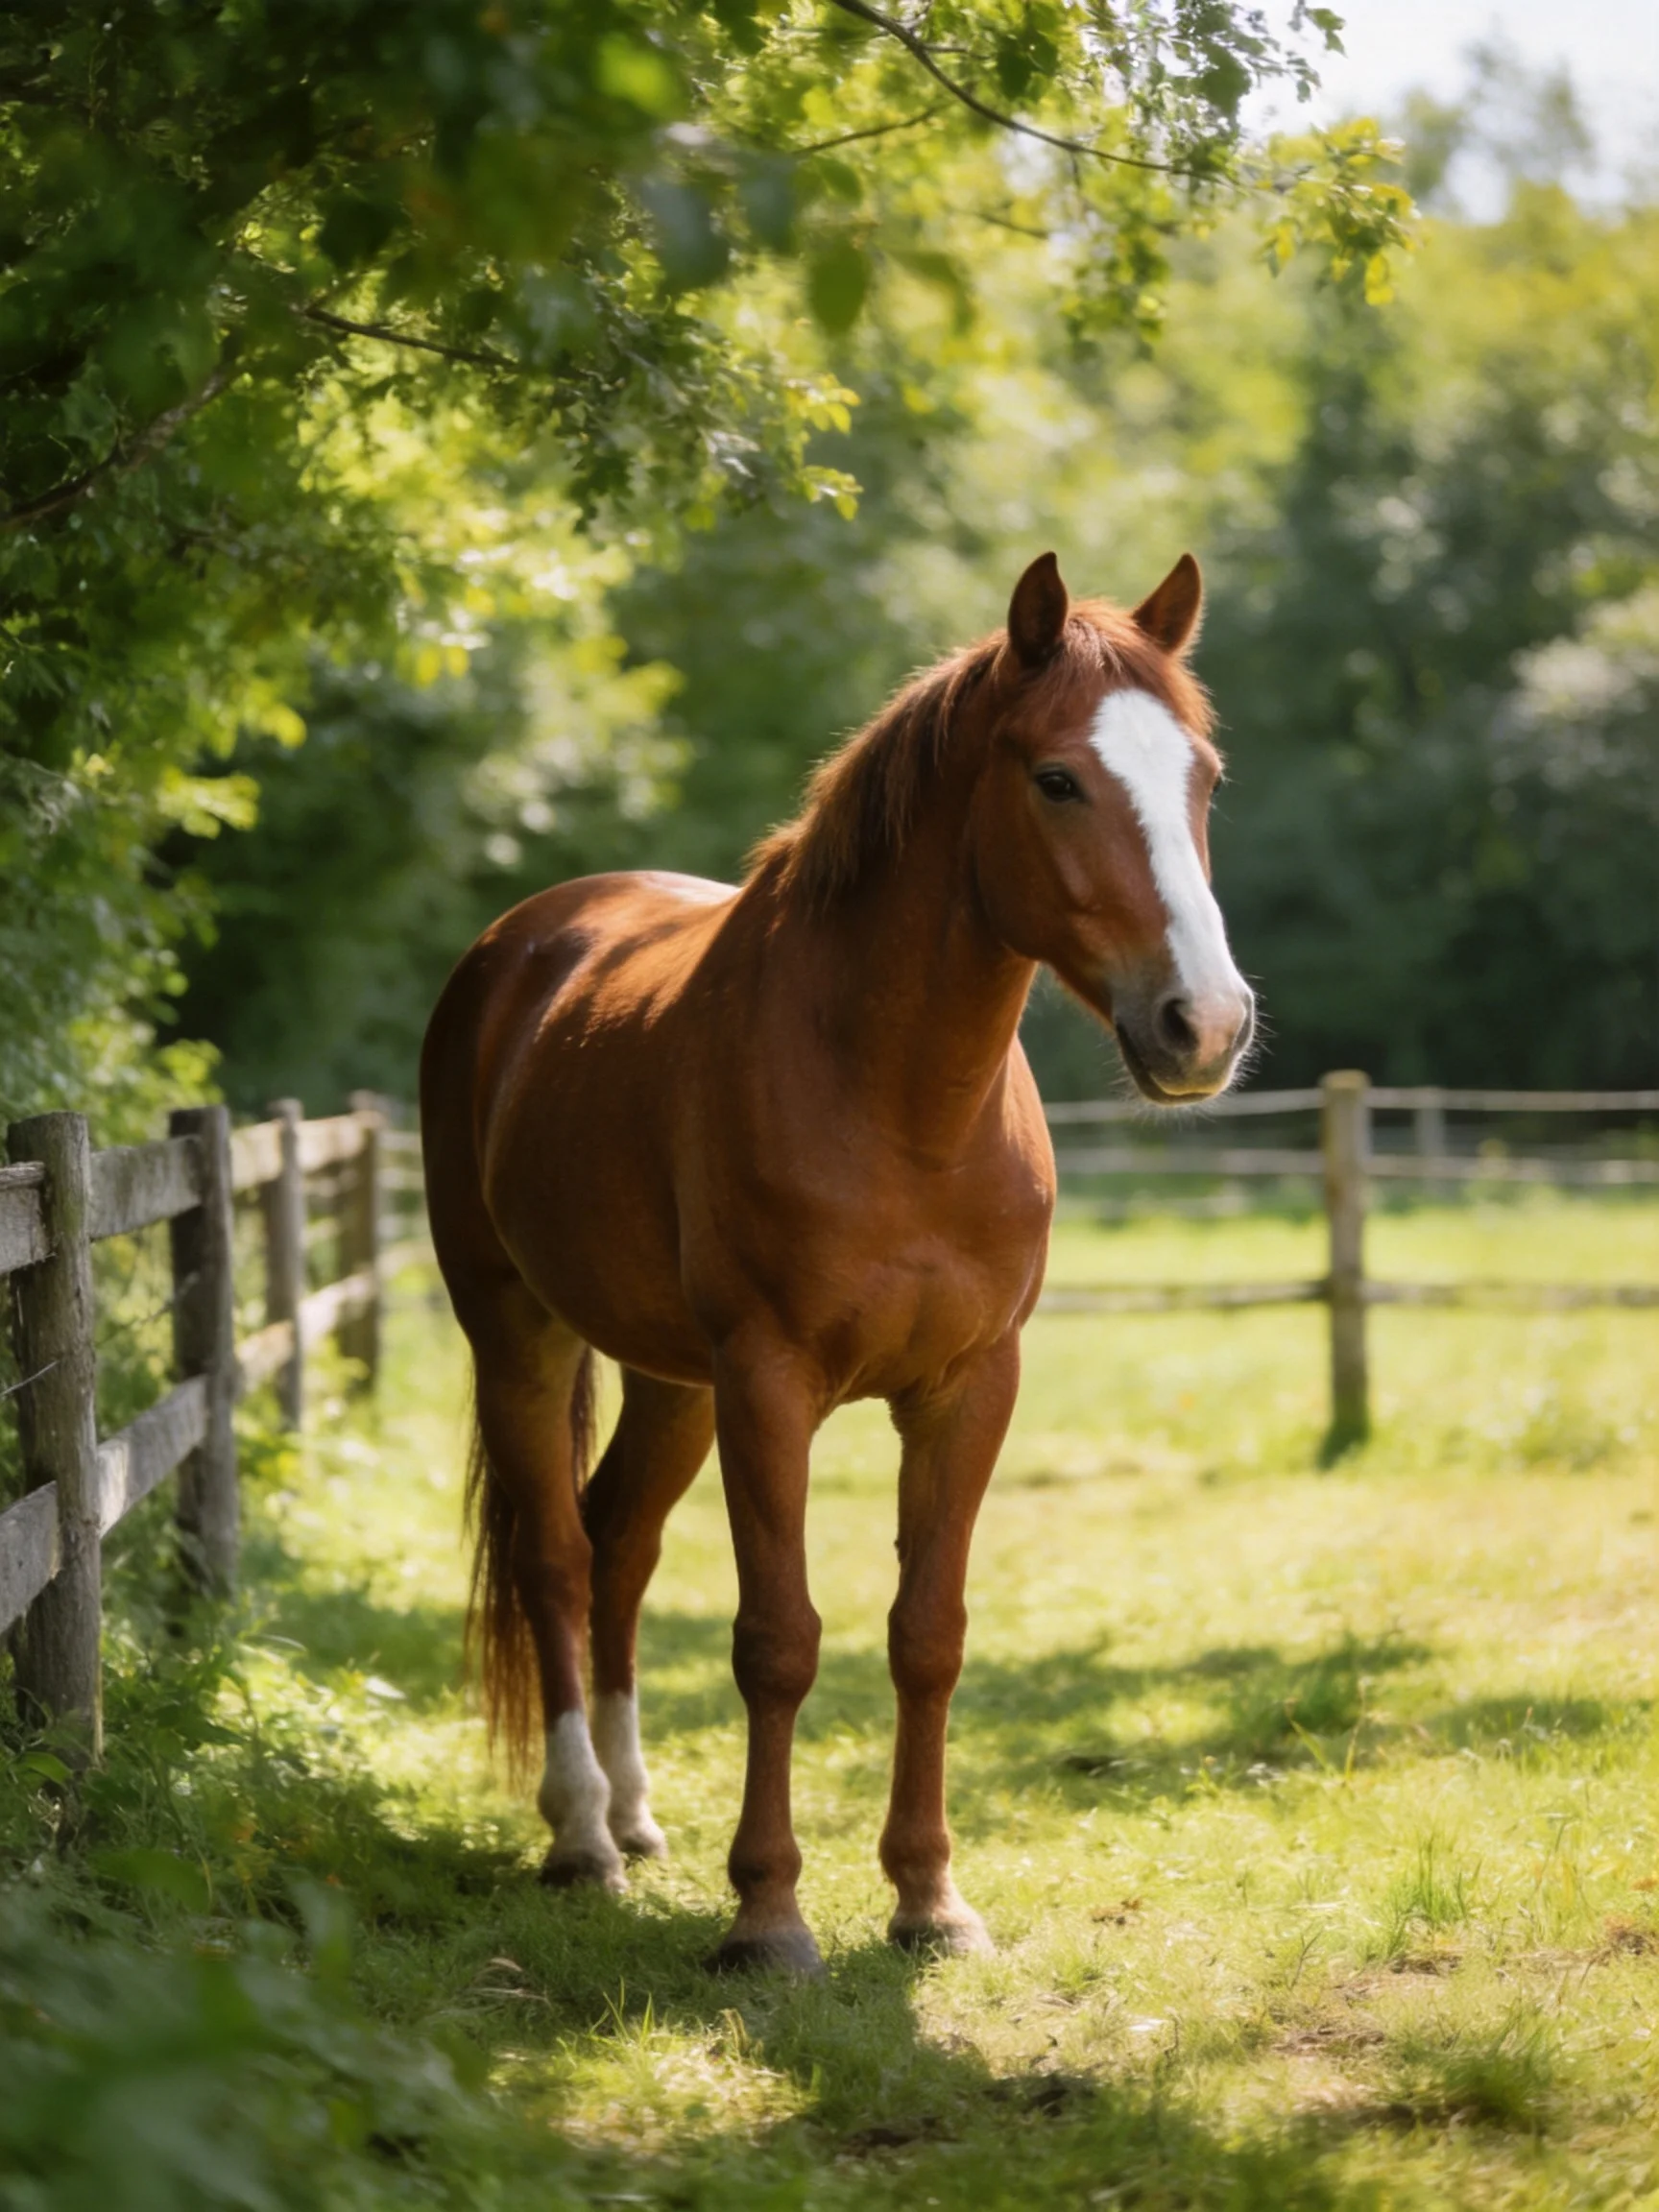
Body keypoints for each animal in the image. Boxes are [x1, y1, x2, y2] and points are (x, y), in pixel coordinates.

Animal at [420, 550, 1254, 1975]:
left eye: (1201, 778)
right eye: (1057, 779)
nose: (1205, 1026)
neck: (897, 1101)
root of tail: (519, 947)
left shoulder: (968, 1390)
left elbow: (928, 1636)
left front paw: (930, 1900)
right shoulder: (769, 1386)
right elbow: (779, 1641)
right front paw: (768, 1915)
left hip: (671, 1382)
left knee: (620, 1545)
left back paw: (635, 1815)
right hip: (518, 1333)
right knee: (557, 1562)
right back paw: (583, 1835)